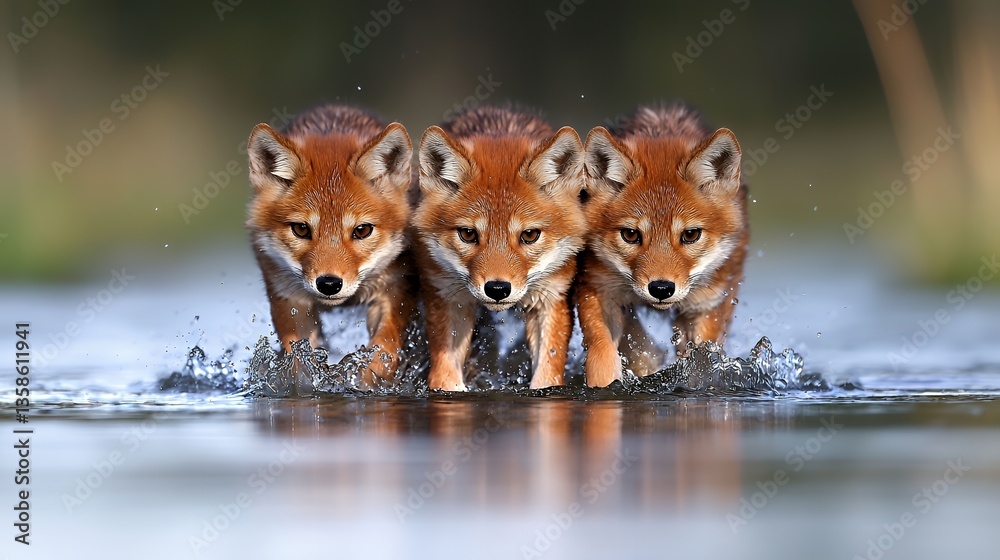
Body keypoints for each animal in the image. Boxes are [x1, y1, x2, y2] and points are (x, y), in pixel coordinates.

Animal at [245, 104, 416, 386]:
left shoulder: (393, 292)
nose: (329, 284)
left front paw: (360, 382)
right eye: (301, 229)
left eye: (362, 230)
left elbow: (382, 355)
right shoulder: (290, 300)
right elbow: (299, 363)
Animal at [413, 105, 587, 391]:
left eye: (529, 235)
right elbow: (445, 377)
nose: (497, 289)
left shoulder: (551, 297)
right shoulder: (447, 296)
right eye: (468, 234)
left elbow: (546, 375)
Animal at [578, 104, 749, 387]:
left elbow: (700, 365)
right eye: (631, 235)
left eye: (690, 235)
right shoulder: (598, 291)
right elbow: (602, 361)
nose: (661, 288)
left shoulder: (706, 307)